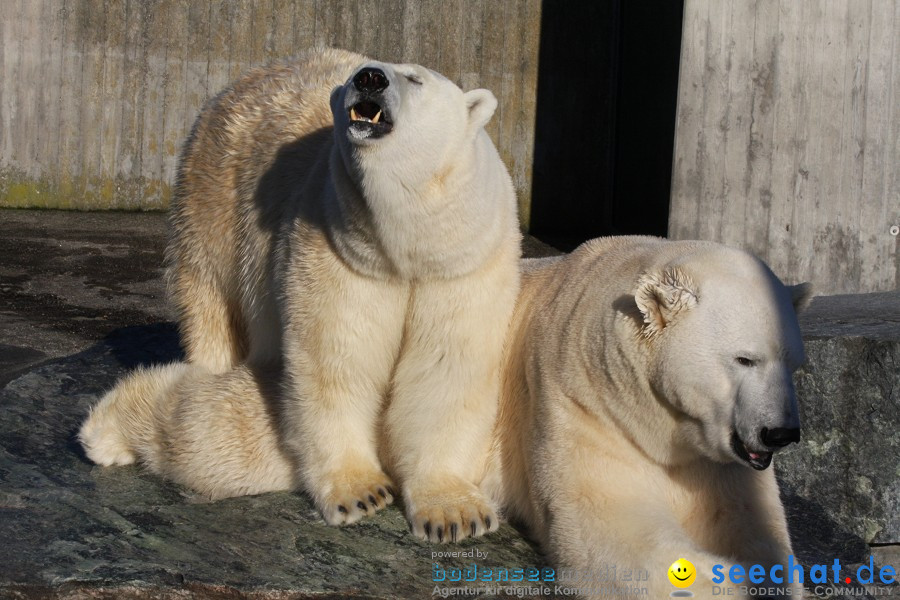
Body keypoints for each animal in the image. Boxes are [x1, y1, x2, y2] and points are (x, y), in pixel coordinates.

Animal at [81, 234, 804, 596]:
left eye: (790, 360)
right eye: (744, 357)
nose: (782, 432)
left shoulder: (719, 462)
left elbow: (756, 530)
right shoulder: (583, 403)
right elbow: (613, 535)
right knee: (228, 439)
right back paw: (105, 430)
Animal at [83, 49, 524, 540]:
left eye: (415, 79)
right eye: (360, 75)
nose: (369, 78)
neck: (405, 245)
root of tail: (243, 80)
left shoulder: (461, 265)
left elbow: (447, 370)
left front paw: (455, 514)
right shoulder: (337, 245)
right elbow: (337, 360)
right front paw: (362, 492)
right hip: (213, 200)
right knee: (213, 356)